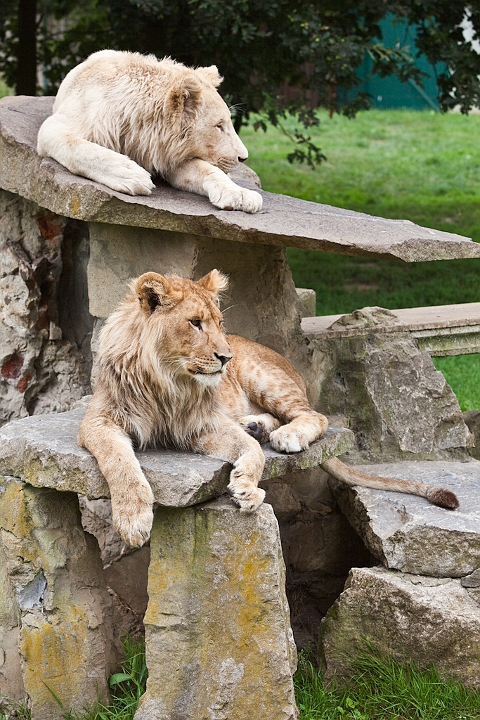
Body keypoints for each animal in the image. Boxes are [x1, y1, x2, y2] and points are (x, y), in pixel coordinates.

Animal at [37, 50, 262, 213]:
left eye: (227, 123)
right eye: (219, 125)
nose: (243, 157)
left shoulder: (167, 154)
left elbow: (208, 170)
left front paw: (243, 196)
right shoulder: (62, 122)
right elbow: (81, 148)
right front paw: (134, 176)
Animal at [78, 270, 459, 547]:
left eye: (219, 323)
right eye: (195, 322)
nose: (225, 357)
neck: (168, 381)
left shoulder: (200, 424)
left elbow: (254, 453)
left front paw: (247, 488)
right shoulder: (98, 421)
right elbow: (120, 462)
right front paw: (133, 519)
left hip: (262, 376)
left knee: (315, 414)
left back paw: (285, 435)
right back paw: (258, 426)